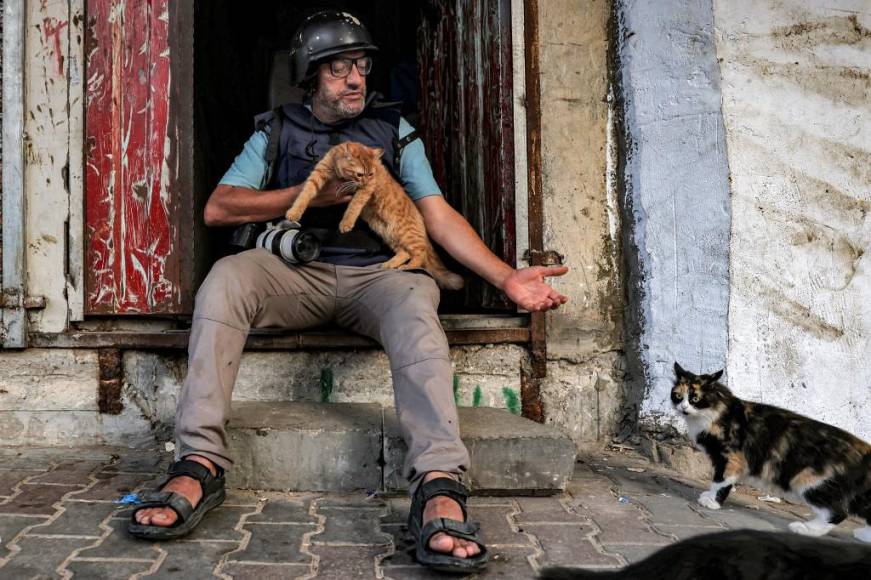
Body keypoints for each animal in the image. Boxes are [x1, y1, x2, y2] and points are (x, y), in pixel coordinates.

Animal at [284, 141, 464, 290]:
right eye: (359, 174)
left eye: (370, 174)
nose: (364, 180)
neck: (338, 171)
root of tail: (421, 222)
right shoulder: (318, 174)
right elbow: (304, 195)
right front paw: (294, 212)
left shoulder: (366, 189)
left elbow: (353, 206)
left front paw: (346, 223)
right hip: (388, 233)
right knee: (404, 252)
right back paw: (389, 264)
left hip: (406, 233)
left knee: (419, 253)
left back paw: (407, 266)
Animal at [676, 362, 871, 544]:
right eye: (678, 396)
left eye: (695, 398)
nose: (683, 408)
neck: (719, 409)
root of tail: (864, 450)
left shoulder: (731, 457)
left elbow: (720, 481)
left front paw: (712, 501)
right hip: (853, 492)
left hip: (813, 481)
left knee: (836, 512)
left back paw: (805, 528)